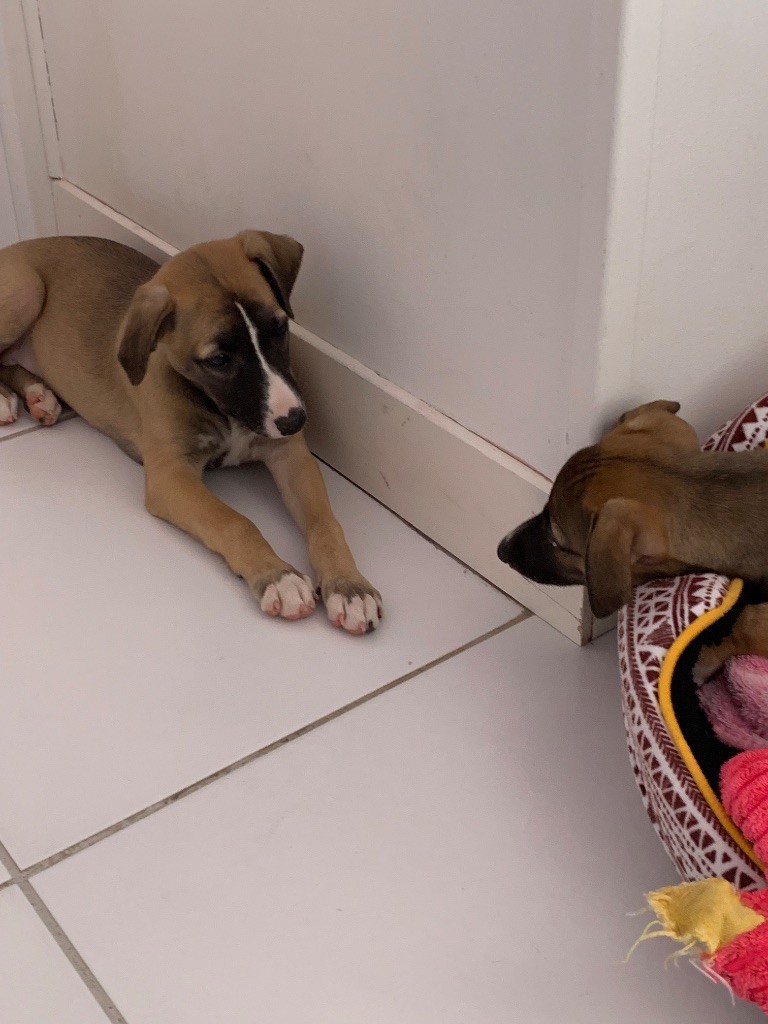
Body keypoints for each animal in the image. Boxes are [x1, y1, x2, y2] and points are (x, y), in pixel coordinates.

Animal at [0, 232, 382, 634]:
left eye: (279, 329)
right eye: (219, 359)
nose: (295, 421)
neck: (219, 407)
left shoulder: (290, 455)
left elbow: (325, 523)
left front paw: (350, 587)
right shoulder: (171, 478)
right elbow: (235, 521)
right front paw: (279, 577)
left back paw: (38, 395)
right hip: (25, 290)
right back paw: (8, 399)